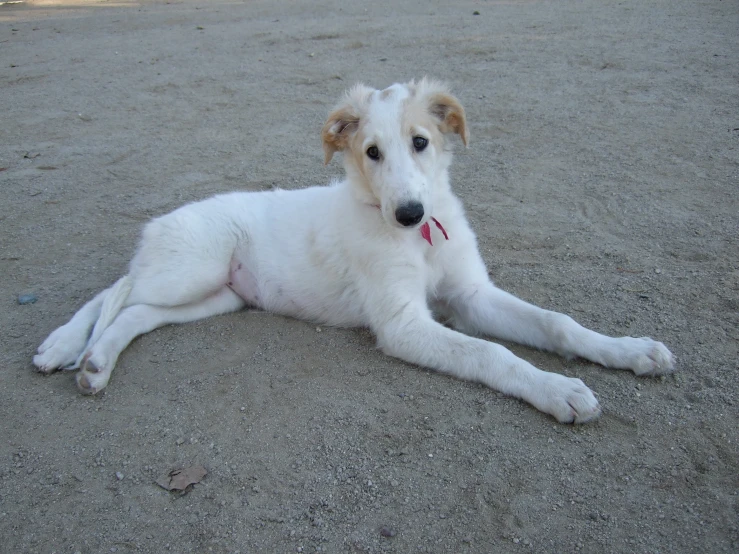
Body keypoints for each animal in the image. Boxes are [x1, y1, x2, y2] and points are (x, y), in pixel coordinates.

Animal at [31, 78, 672, 422]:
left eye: (421, 142)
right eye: (371, 152)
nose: (409, 212)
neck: (419, 240)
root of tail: (164, 221)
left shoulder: (470, 295)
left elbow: (557, 323)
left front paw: (631, 350)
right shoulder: (403, 323)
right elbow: (492, 354)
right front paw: (558, 390)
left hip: (218, 296)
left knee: (135, 311)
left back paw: (94, 362)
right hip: (192, 268)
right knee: (113, 290)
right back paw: (62, 343)